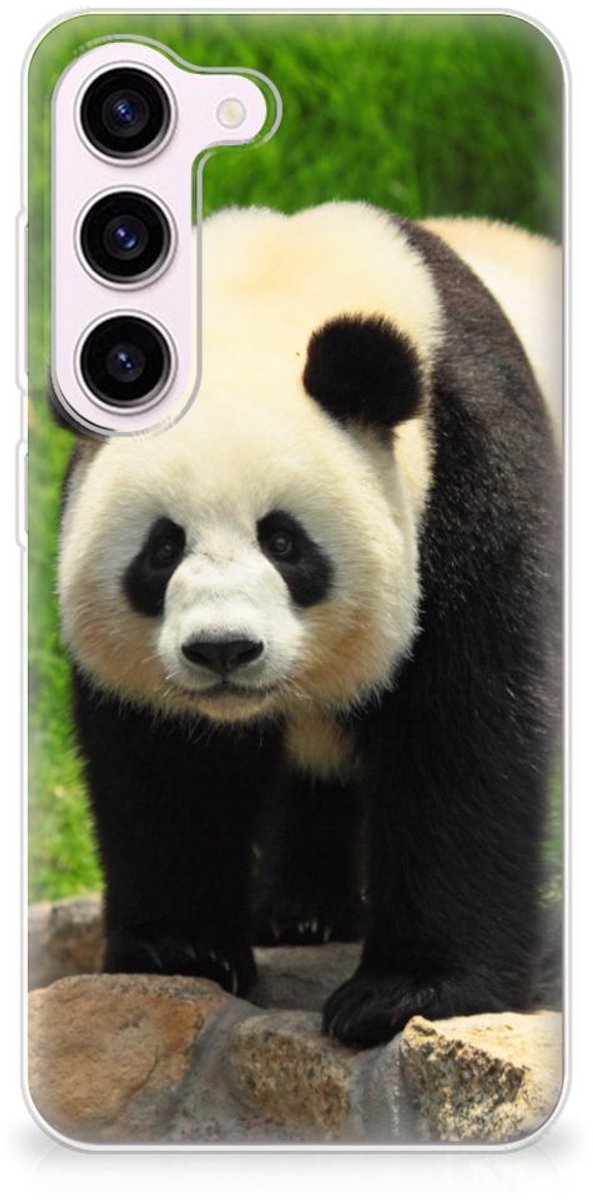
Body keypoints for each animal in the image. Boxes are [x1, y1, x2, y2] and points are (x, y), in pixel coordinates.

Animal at [57, 203, 561, 1049]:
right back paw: (299, 912)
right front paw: (180, 950)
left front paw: (407, 992)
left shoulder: (470, 476)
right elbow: (164, 764)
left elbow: (463, 733)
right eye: (162, 549)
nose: (223, 650)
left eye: (284, 542)